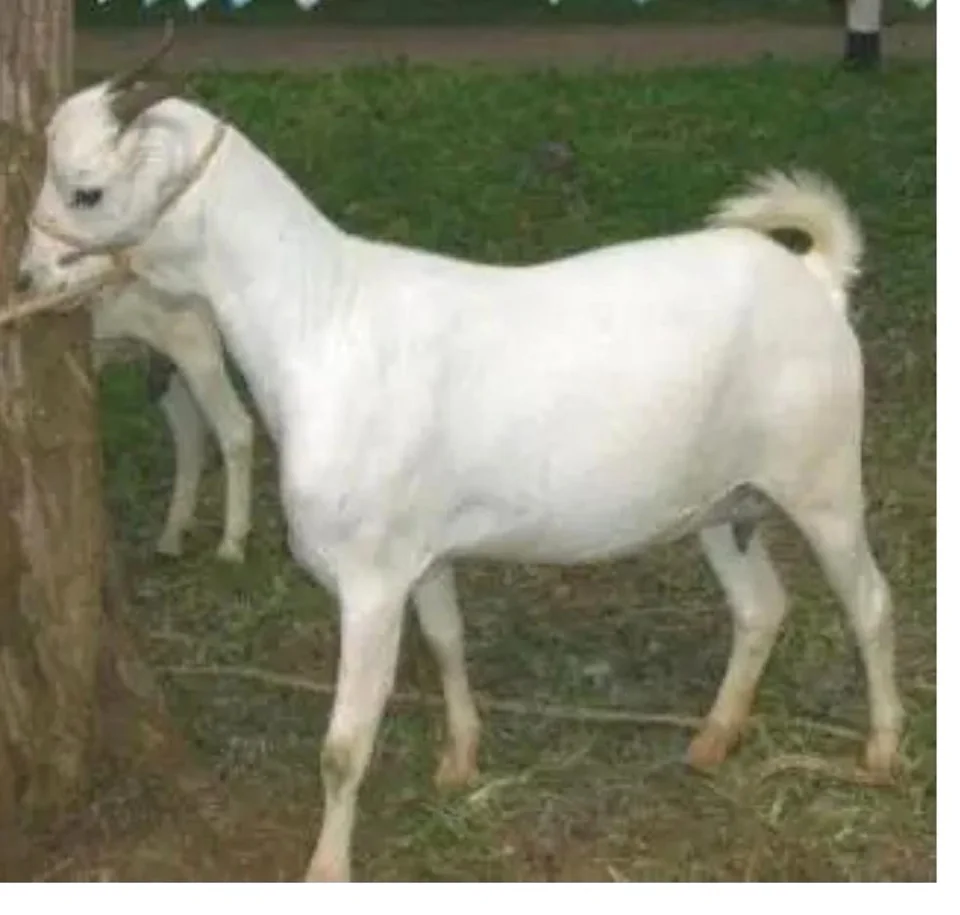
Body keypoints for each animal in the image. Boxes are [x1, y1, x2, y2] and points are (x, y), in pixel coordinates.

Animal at [19, 40, 903, 882]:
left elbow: (342, 747)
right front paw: (460, 760)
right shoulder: (423, 551)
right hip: (720, 501)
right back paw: (713, 739)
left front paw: (326, 867)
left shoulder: (369, 579)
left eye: (85, 190)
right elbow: (446, 641)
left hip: (822, 477)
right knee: (760, 606)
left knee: (869, 602)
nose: (27, 275)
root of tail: (817, 277)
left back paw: (881, 751)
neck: (322, 316)